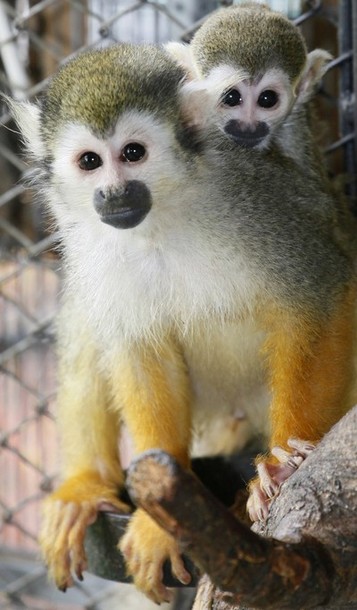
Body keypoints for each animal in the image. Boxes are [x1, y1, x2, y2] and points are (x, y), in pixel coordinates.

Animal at [9, 39, 356, 604]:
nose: (113, 194)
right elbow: (140, 350)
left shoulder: (258, 206)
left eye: (133, 153)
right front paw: (159, 525)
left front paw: (286, 466)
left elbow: (320, 298)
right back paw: (84, 484)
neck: (163, 216)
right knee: (88, 317)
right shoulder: (96, 245)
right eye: (89, 162)